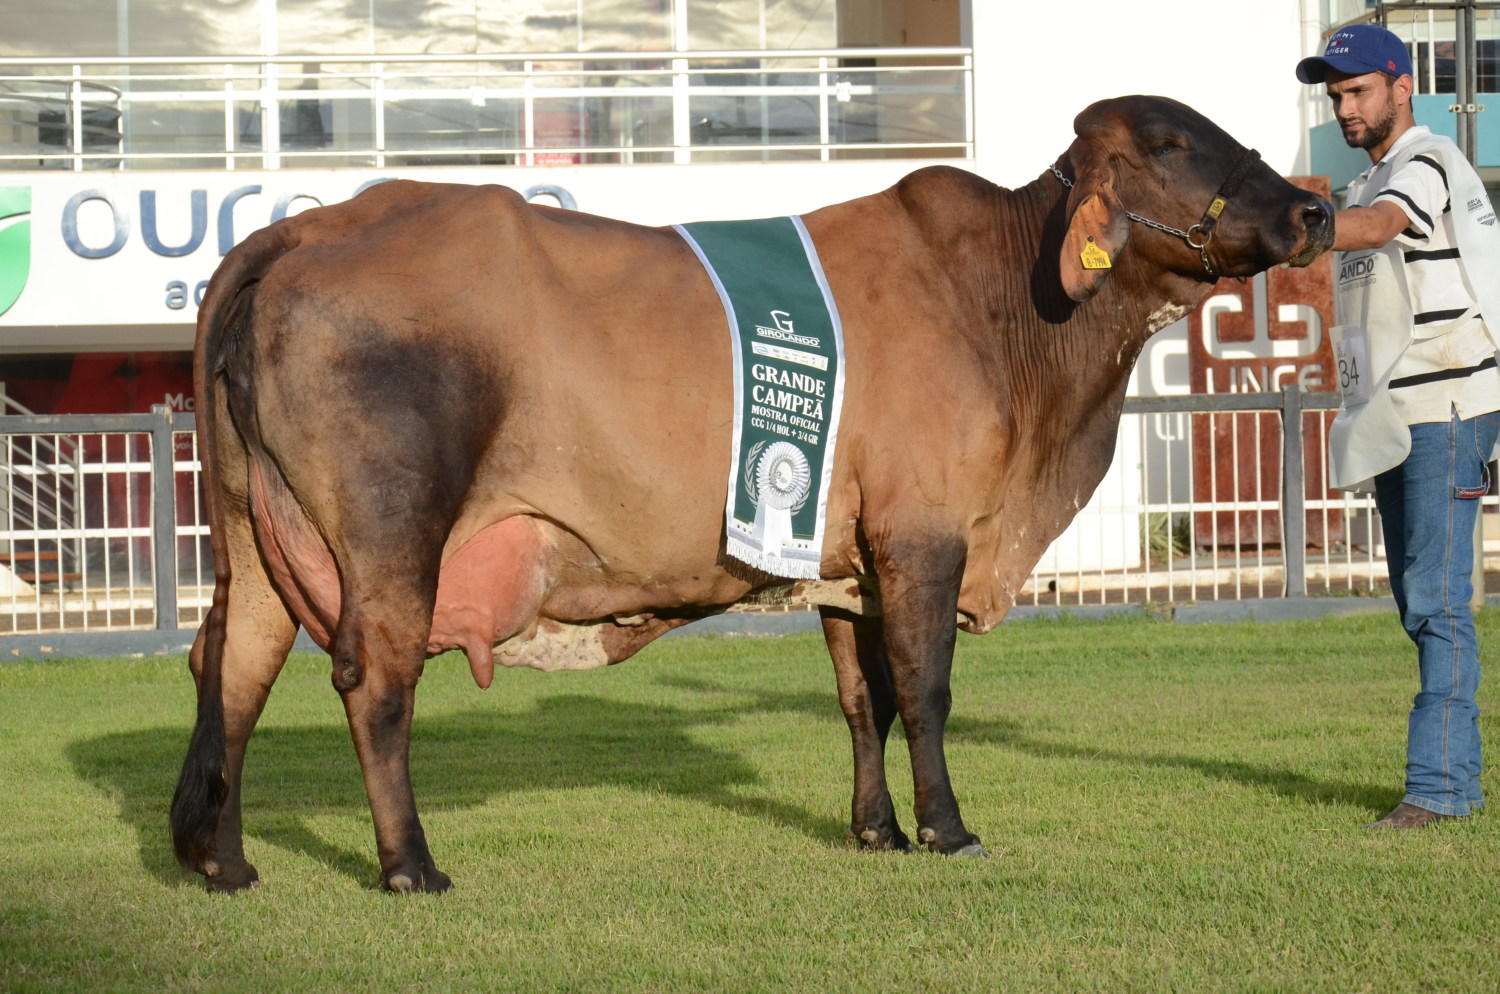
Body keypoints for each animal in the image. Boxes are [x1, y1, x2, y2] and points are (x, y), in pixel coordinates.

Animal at [170, 97, 1332, 893]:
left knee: (234, 663)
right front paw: (947, 828)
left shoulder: (849, 558)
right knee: (374, 682)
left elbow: (863, 697)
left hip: (253, 531)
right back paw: (411, 863)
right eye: (1174, 143)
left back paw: (221, 857)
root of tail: (309, 227)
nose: (1316, 207)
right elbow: (926, 690)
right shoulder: (924, 530)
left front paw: (877, 830)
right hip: (390, 530)